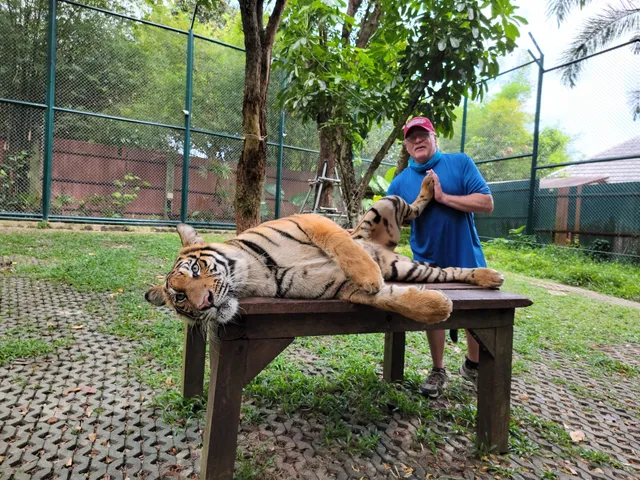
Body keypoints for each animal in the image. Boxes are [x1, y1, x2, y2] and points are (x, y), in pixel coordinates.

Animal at [145, 175, 504, 325]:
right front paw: (436, 308)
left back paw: (431, 183)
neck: (252, 276)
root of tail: (380, 244)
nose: (205, 303)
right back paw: (488, 278)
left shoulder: (311, 219)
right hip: (405, 268)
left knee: (415, 206)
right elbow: (388, 299)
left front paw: (368, 274)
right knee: (448, 271)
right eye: (180, 298)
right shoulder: (338, 287)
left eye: (196, 270)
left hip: (386, 205)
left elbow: (342, 244)